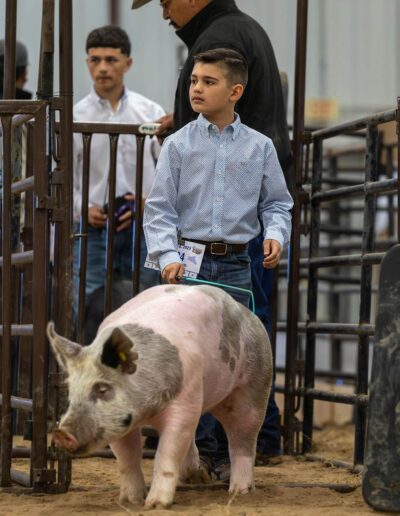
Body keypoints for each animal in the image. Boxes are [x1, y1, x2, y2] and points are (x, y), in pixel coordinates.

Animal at [47, 283, 272, 509]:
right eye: (71, 391)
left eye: (102, 389)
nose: (61, 433)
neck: (148, 410)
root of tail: (250, 314)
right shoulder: (117, 422)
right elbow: (127, 458)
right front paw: (129, 501)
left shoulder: (183, 403)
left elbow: (166, 452)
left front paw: (156, 504)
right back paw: (196, 477)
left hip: (255, 383)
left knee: (243, 437)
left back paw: (239, 491)